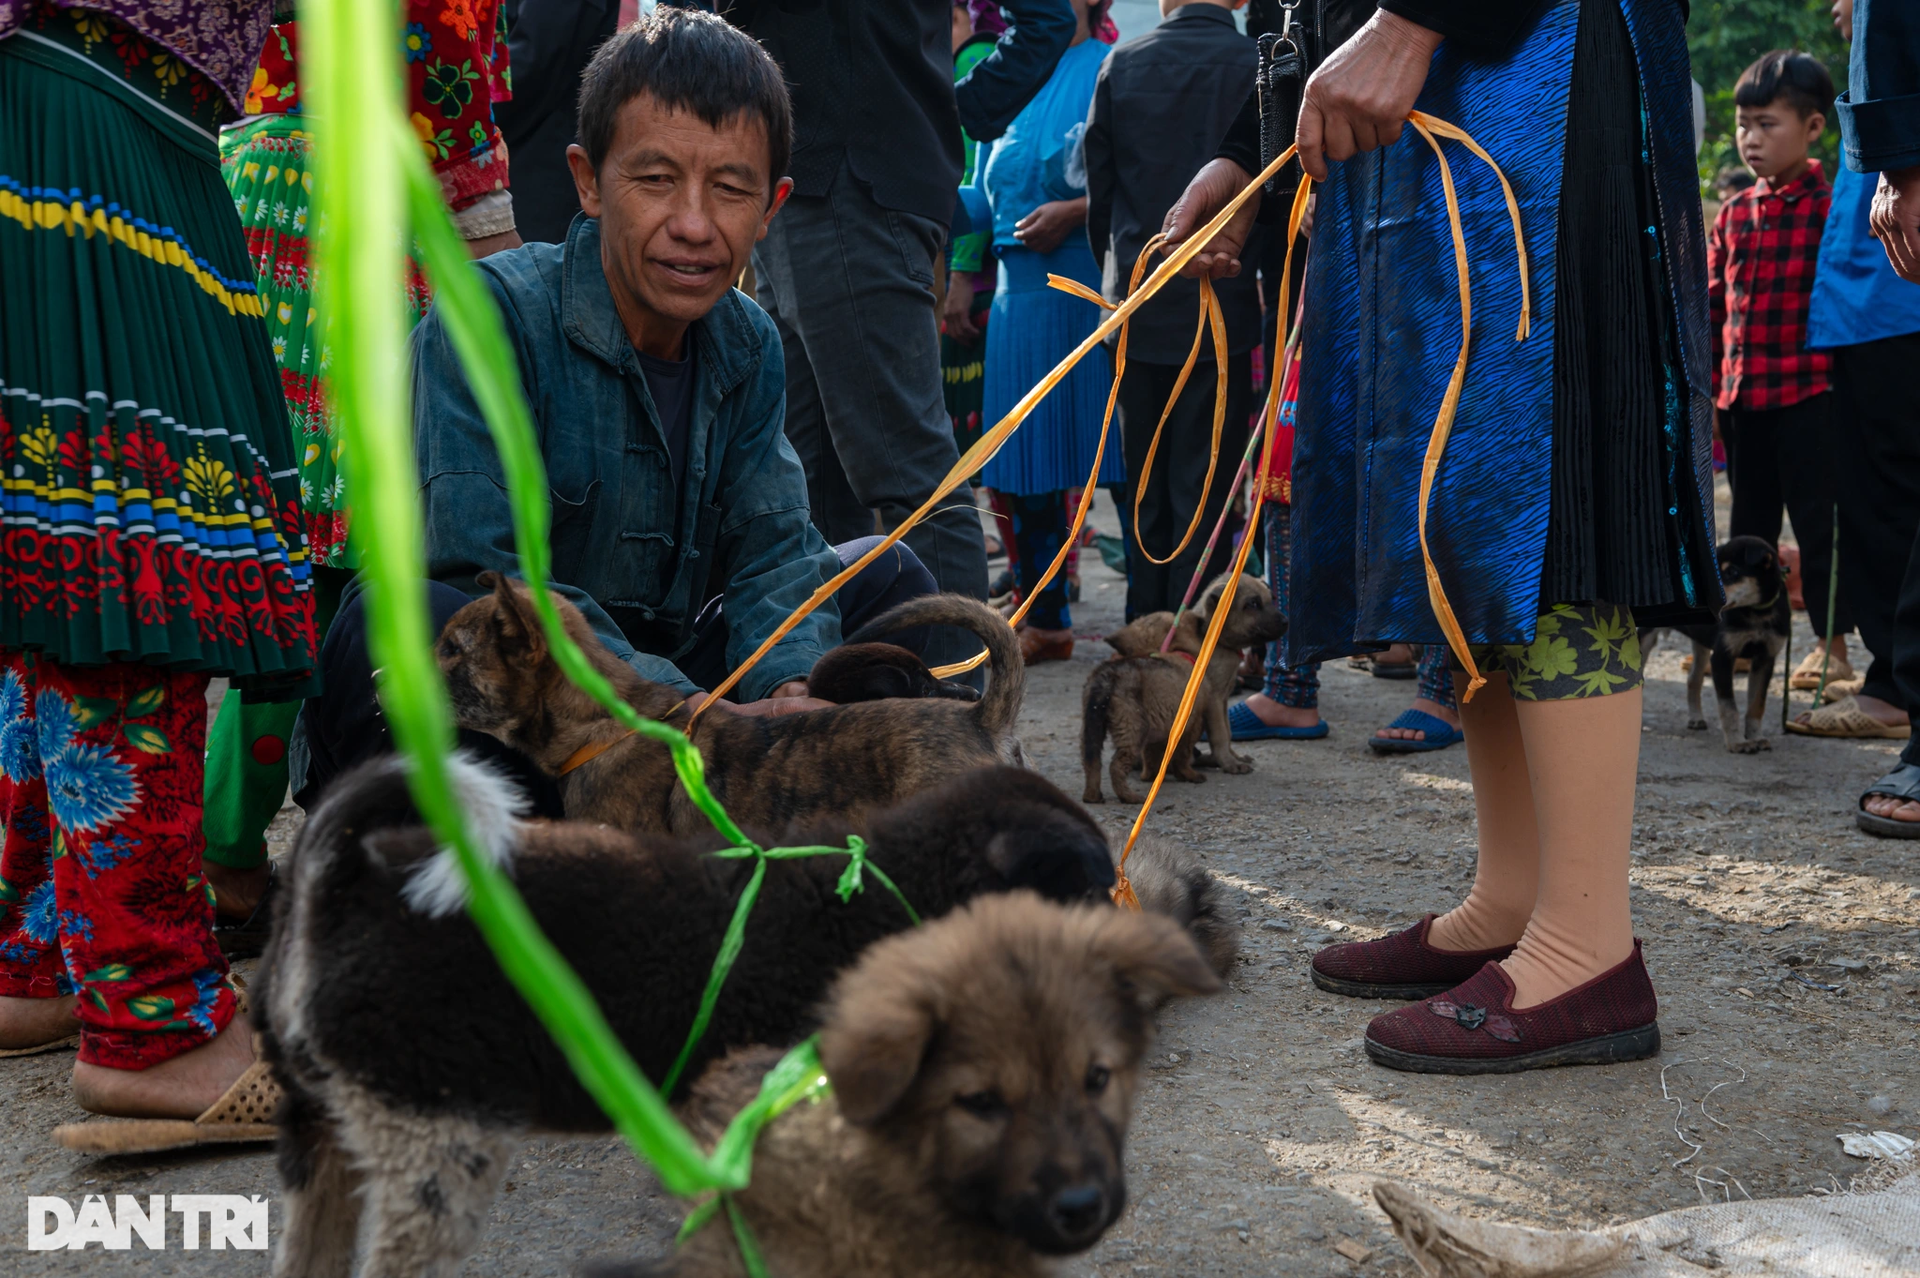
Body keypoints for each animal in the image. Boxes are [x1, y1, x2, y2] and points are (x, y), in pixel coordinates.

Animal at [1082, 571, 1290, 802]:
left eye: (1272, 598)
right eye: (1252, 604)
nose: (1286, 622)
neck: (1215, 640)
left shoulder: (1222, 699)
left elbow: (1227, 732)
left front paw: (1232, 758)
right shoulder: (1212, 701)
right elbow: (1220, 735)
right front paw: (1229, 763)